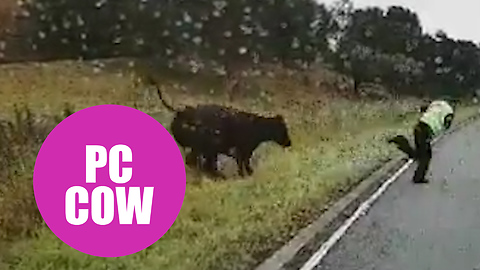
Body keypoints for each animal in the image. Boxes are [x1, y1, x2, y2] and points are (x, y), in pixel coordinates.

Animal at [158, 86, 292, 177]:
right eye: (283, 129)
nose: (289, 143)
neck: (258, 128)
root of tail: (183, 112)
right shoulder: (243, 149)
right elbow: (243, 163)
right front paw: (246, 174)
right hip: (205, 148)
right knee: (198, 162)